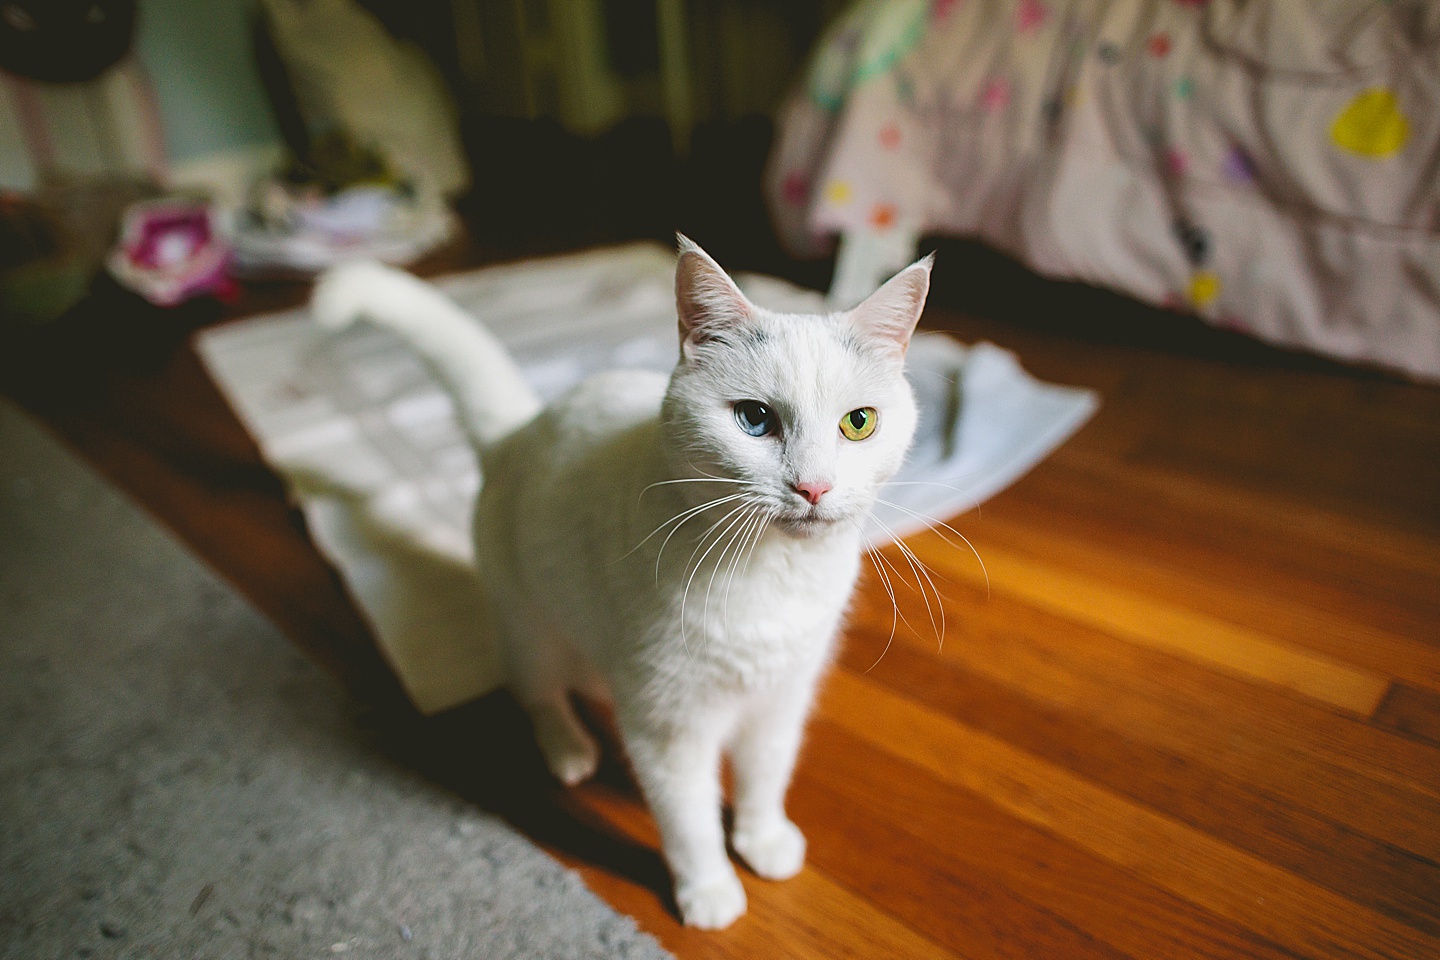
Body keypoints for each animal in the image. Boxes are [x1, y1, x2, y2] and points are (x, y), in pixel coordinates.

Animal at [312, 236, 933, 926]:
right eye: (753, 419)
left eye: (858, 423)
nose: (814, 487)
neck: (770, 574)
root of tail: (520, 432)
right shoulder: (668, 727)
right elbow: (688, 821)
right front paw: (708, 892)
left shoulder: (782, 699)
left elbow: (765, 777)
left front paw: (763, 840)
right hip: (528, 626)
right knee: (538, 692)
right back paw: (569, 750)